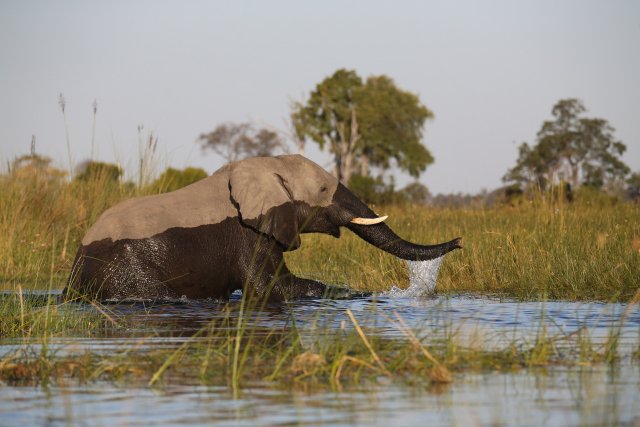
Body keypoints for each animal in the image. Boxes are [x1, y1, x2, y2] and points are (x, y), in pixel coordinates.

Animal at [63, 155, 460, 302]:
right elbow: (270, 286)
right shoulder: (248, 232)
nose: (458, 241)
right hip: (125, 270)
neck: (265, 165)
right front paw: (351, 295)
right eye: (323, 190)